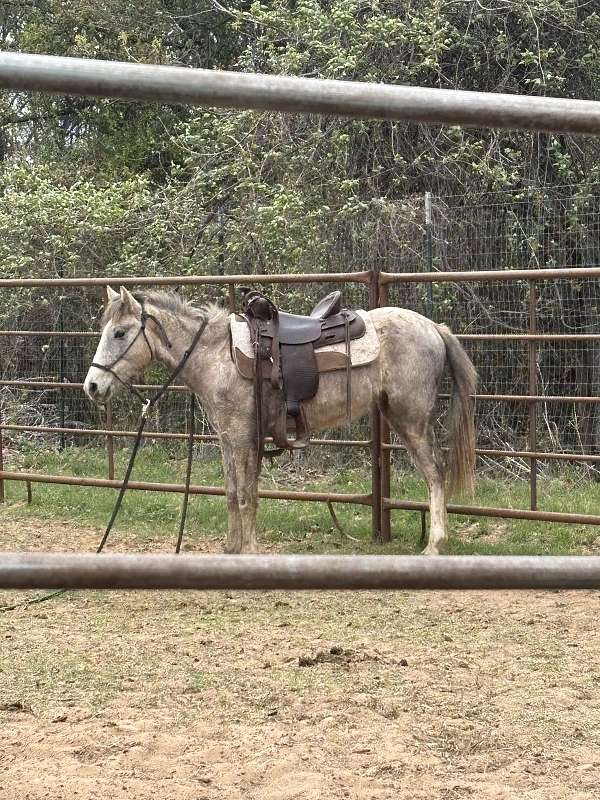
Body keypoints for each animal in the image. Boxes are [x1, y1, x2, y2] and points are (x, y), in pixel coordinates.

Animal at [84, 286, 477, 554]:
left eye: (119, 333)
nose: (92, 386)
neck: (217, 355)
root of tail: (433, 327)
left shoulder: (244, 439)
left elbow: (246, 495)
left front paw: (249, 550)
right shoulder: (228, 439)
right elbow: (232, 493)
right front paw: (232, 547)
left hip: (411, 419)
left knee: (435, 473)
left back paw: (435, 544)